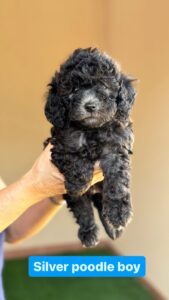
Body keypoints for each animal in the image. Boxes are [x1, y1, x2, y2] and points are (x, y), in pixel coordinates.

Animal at [44, 48, 136, 247]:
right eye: (73, 90)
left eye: (103, 85)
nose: (90, 105)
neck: (92, 129)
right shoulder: (61, 142)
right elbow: (74, 158)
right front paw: (78, 182)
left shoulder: (116, 146)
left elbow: (117, 180)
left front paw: (120, 212)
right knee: (82, 208)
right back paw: (89, 232)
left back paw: (113, 227)